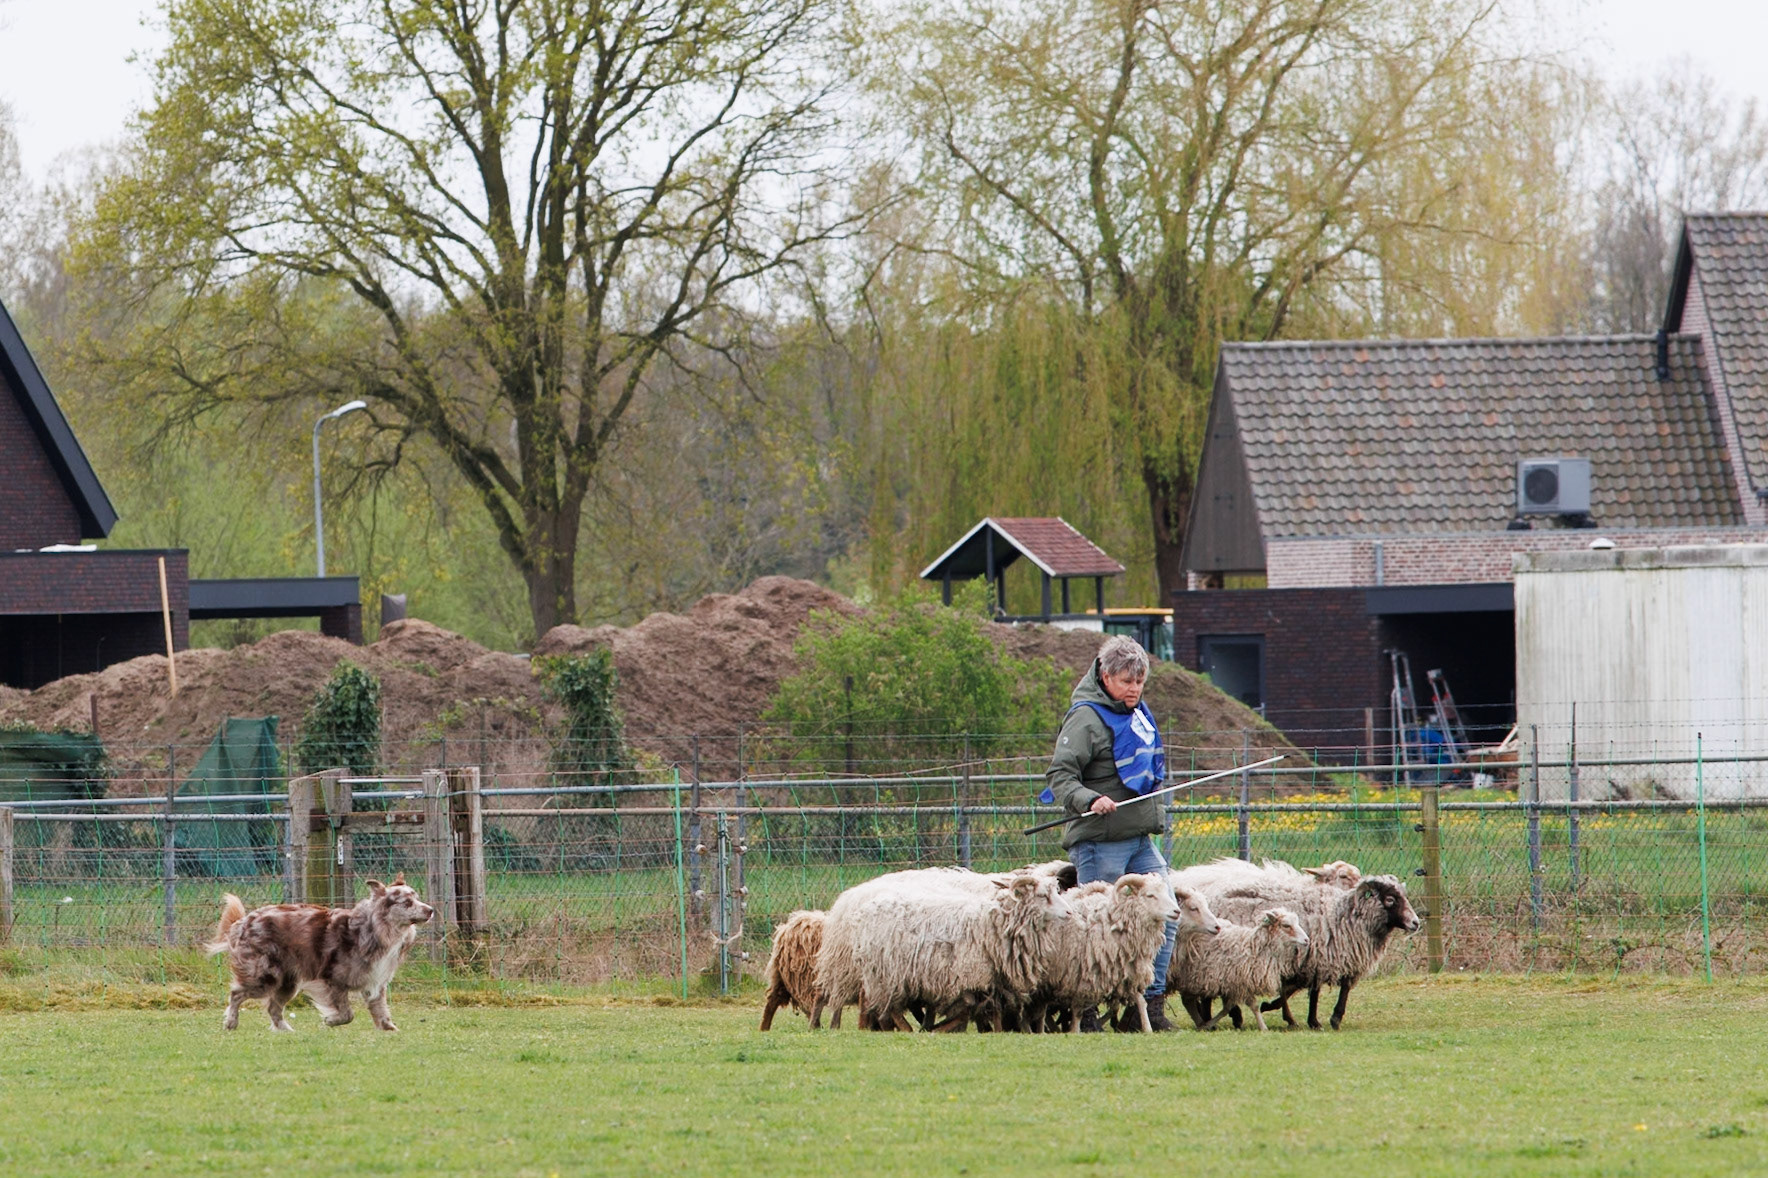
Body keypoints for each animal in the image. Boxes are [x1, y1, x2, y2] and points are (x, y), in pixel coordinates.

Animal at [205, 873, 435, 1032]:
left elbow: (380, 1009)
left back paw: (286, 1030)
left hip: (288, 983)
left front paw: (389, 1028)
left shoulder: (375, 981)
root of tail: (243, 922)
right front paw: (330, 1020)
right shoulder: (333, 980)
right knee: (236, 994)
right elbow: (347, 1014)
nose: (431, 910)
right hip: (264, 976)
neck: (378, 929)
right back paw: (231, 1022)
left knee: (273, 1007)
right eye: (407, 903)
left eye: (418, 898)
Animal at [1168, 906, 1309, 1031]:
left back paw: (1200, 1023)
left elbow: (1227, 1008)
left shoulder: (1233, 985)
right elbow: (1254, 1006)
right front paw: (1263, 1027)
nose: (1307, 940)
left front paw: (1209, 1024)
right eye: (1286, 925)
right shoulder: (1242, 983)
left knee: (1187, 1001)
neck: (1254, 947)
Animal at [1203, 874, 1420, 1030]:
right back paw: (1215, 1019)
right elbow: (1320, 991)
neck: (1344, 917)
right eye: (1390, 899)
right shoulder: (1320, 957)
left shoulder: (1315, 960)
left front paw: (1291, 1014)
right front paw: (1328, 1020)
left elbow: (1303, 990)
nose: (1416, 923)